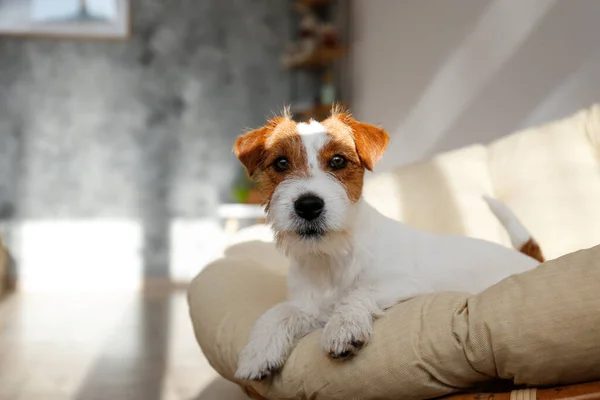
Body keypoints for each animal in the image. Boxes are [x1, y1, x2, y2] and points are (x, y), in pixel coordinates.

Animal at [232, 106, 548, 382]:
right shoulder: (309, 306)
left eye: (338, 161)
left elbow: (359, 292)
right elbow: (277, 312)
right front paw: (257, 353)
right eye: (281, 163)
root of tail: (533, 261)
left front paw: (343, 327)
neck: (332, 257)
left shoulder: (406, 284)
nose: (308, 205)